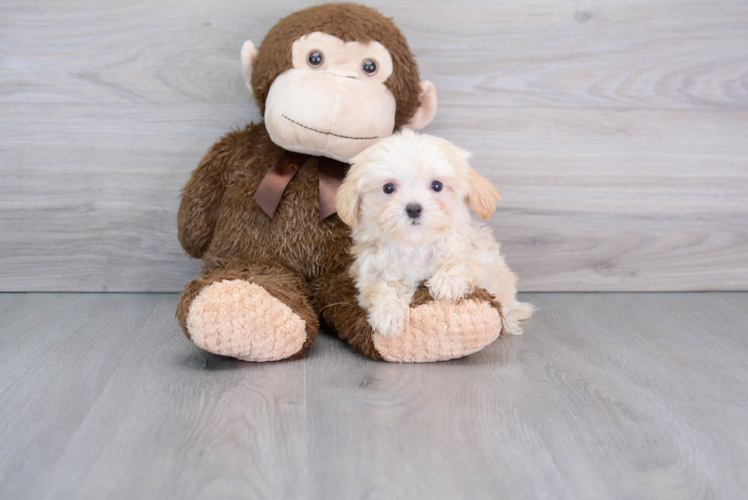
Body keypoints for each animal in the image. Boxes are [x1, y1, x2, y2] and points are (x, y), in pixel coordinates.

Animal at [334, 130, 532, 340]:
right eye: (388, 188)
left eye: (437, 186)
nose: (413, 208)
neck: (415, 245)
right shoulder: (370, 271)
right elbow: (382, 287)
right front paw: (388, 314)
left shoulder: (482, 253)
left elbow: (467, 260)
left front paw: (448, 281)